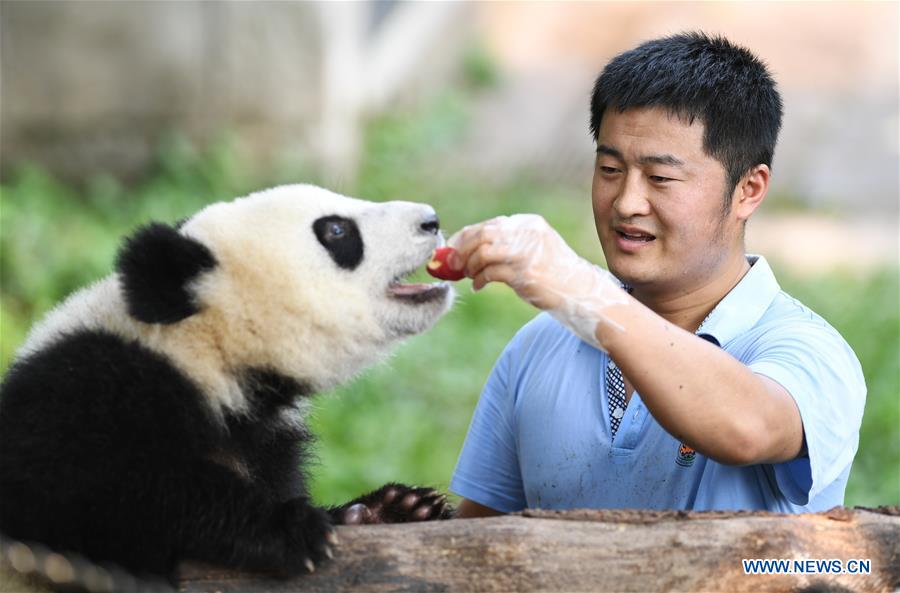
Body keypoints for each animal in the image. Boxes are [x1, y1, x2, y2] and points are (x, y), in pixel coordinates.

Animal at [0, 184, 458, 584]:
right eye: (335, 230)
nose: (431, 220)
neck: (201, 348)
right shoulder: (79, 396)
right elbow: (106, 492)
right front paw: (288, 531)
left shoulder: (264, 440)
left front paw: (397, 508)